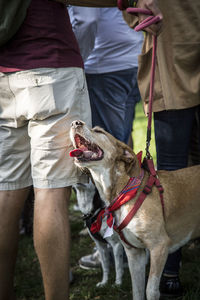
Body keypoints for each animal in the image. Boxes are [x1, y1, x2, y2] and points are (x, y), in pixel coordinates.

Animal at [69, 120, 200, 300]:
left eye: (99, 131)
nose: (75, 122)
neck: (124, 191)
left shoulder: (159, 247)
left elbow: (150, 290)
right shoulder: (134, 253)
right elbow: (137, 290)